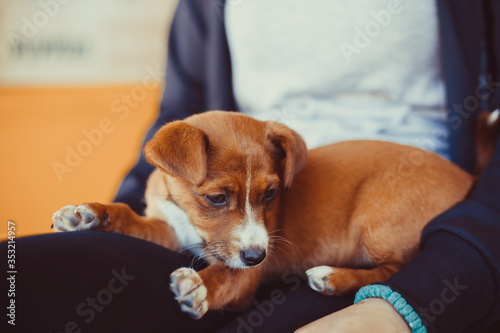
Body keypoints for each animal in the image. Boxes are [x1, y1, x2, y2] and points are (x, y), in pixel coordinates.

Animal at [52, 110, 498, 318]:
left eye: (270, 194)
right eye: (217, 198)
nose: (257, 257)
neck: (190, 222)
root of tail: (470, 177)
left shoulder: (245, 279)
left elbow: (224, 274)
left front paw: (198, 286)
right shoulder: (167, 228)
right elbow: (128, 216)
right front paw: (87, 214)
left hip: (379, 216)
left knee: (395, 269)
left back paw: (332, 278)